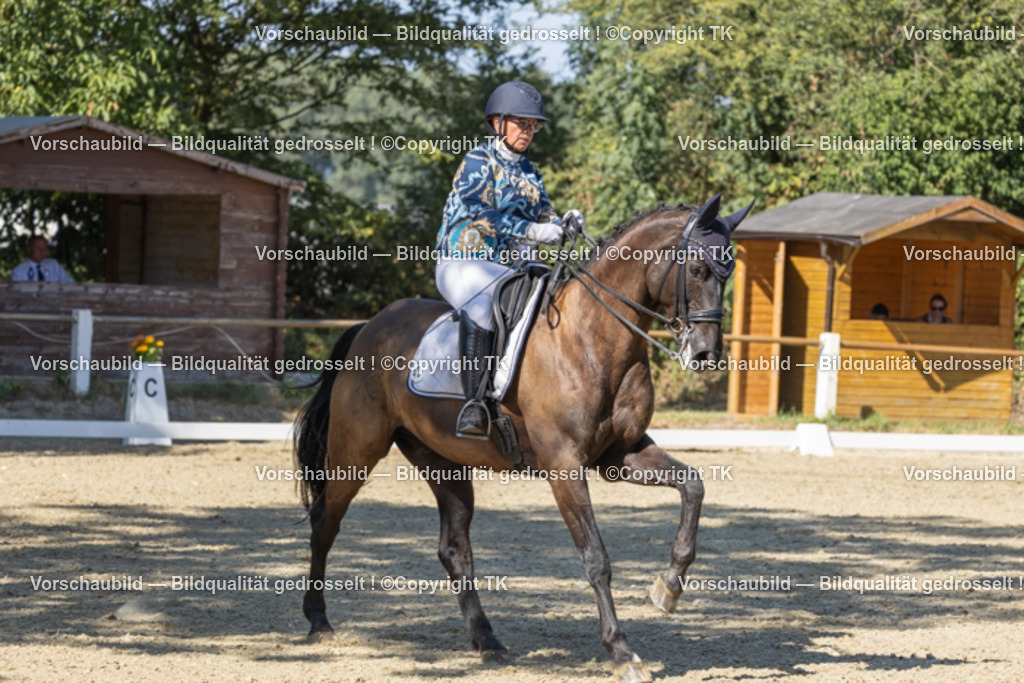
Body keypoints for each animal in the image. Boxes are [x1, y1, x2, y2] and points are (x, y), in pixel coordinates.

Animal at [293, 194, 752, 682]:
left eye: (728, 273)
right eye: (698, 269)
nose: (705, 354)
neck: (593, 338)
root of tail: (370, 326)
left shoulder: (618, 456)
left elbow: (693, 485)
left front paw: (668, 587)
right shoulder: (564, 465)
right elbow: (596, 558)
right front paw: (622, 652)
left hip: (442, 461)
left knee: (454, 549)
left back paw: (486, 640)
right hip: (356, 450)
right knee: (325, 521)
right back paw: (319, 621)